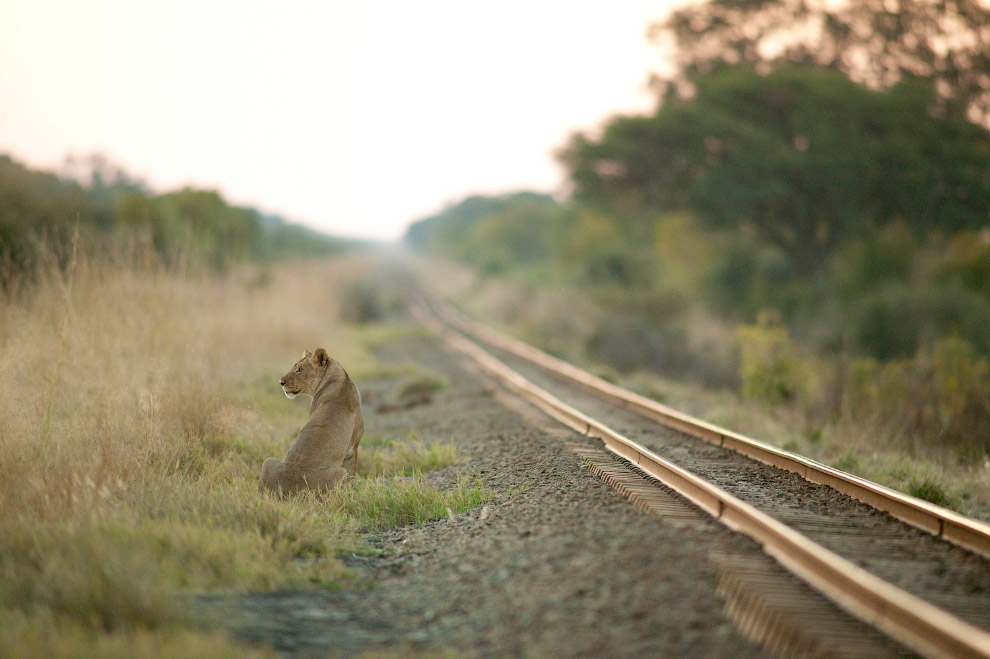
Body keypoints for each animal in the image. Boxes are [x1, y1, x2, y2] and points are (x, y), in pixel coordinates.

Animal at [260, 350, 364, 496]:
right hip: (340, 473)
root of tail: (289, 491)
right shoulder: (353, 448)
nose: (281, 382)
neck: (341, 379)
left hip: (268, 461)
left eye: (299, 369)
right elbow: (351, 477)